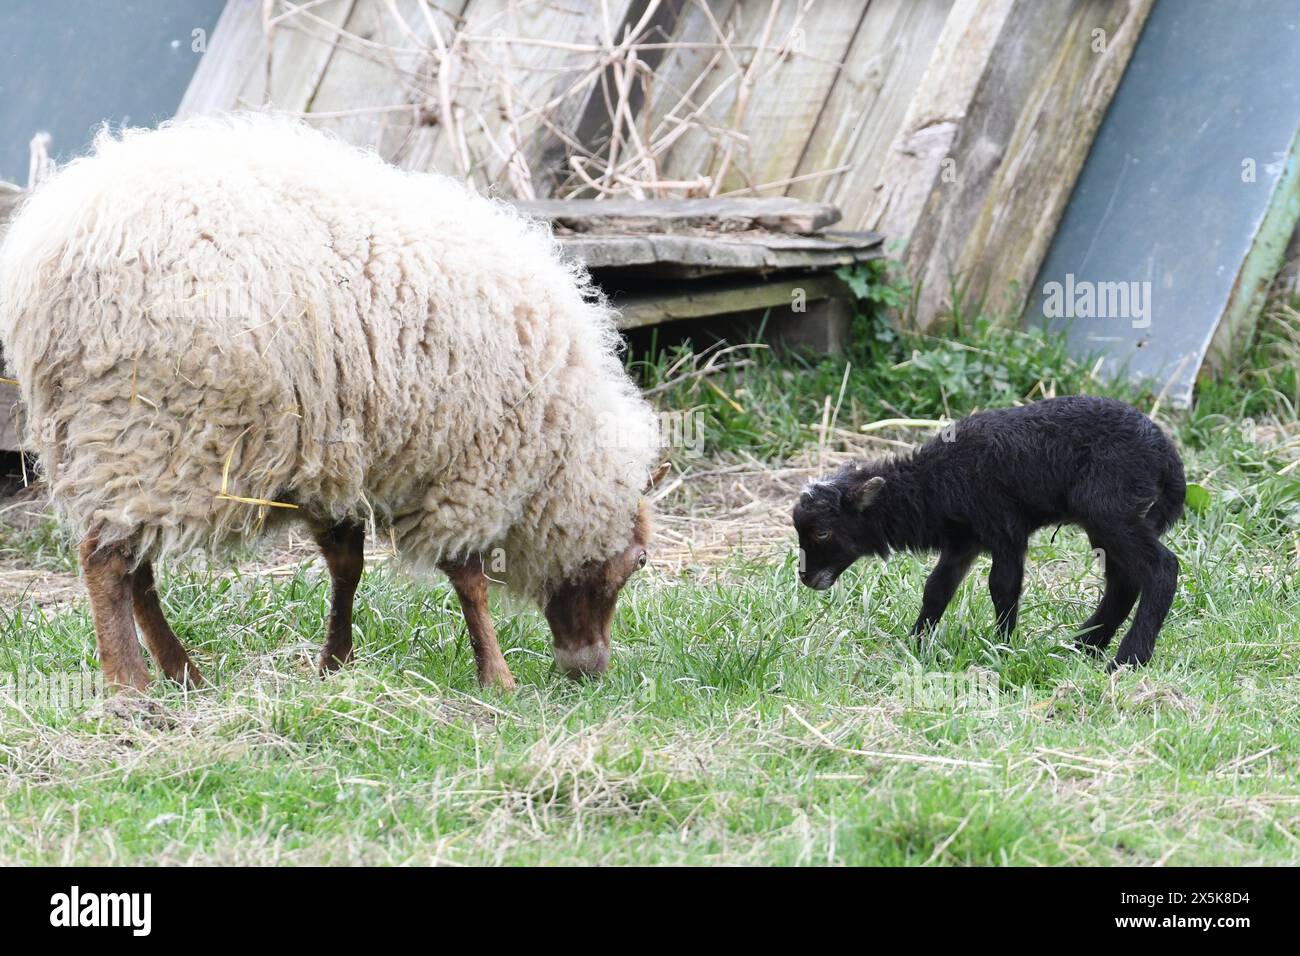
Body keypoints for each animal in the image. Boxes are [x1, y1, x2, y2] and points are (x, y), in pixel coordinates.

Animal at [0, 115, 665, 691]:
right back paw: (130, 686)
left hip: (112, 443)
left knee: (134, 564)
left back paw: (182, 672)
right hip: (149, 425)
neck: (557, 440)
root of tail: (46, 252)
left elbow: (348, 565)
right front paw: (496, 677)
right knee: (106, 561)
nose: (589, 671)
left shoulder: (333, 453)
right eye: (638, 562)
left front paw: (334, 663)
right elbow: (468, 580)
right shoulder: (461, 469)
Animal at [790, 392, 1190, 671]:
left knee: (1161, 568)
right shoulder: (963, 541)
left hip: (1107, 507)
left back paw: (1127, 659)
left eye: (822, 533)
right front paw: (916, 644)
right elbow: (936, 589)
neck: (933, 483)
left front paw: (1002, 646)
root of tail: (1166, 453)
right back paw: (1083, 646)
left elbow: (1002, 586)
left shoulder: (1005, 528)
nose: (806, 577)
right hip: (1108, 519)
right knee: (1124, 581)